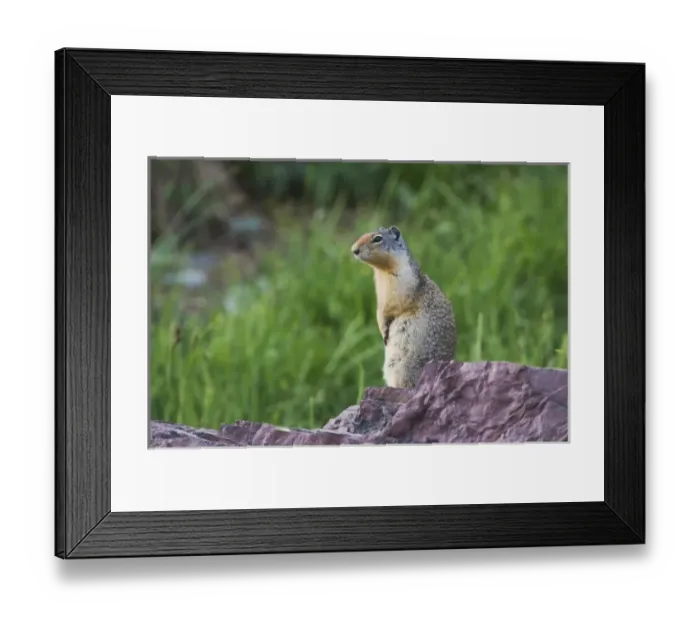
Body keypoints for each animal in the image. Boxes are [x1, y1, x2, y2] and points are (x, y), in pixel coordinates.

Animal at [351, 225, 457, 389]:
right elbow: (380, 311)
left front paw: (384, 332)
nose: (354, 250)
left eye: (377, 238)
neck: (382, 271)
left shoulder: (398, 289)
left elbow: (389, 309)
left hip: (401, 366)